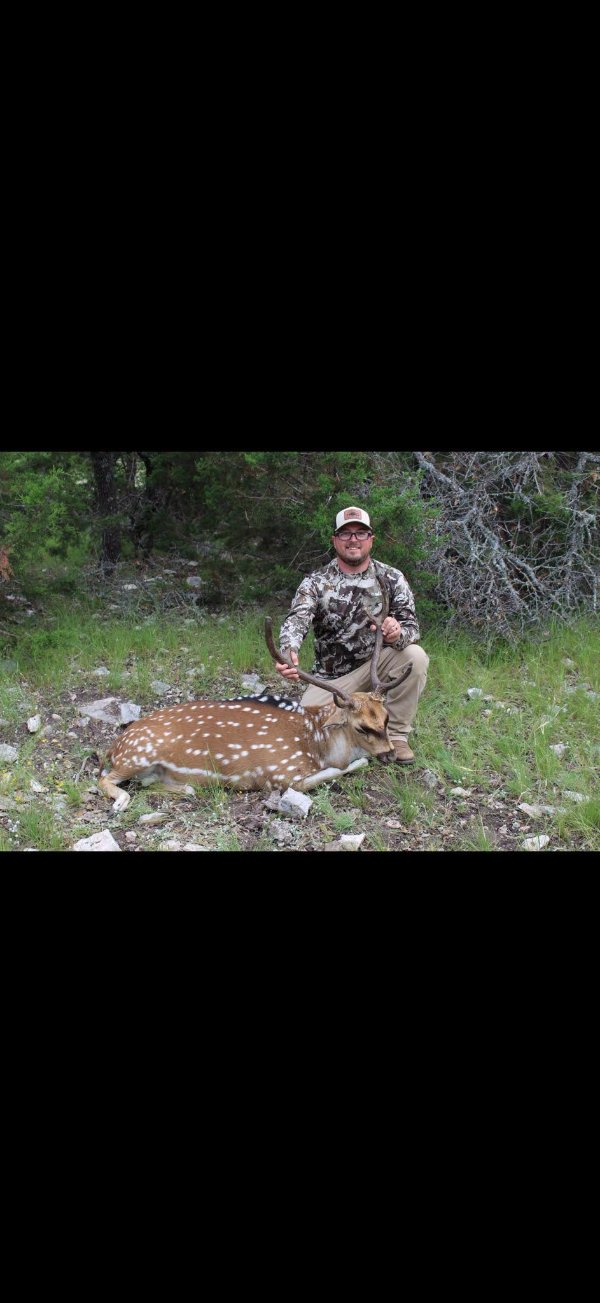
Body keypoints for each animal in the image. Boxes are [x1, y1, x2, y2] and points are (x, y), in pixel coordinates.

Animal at [98, 574, 412, 813]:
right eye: (361, 727)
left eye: (386, 719)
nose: (389, 754)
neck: (317, 744)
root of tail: (115, 746)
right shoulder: (282, 773)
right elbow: (341, 769)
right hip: (138, 754)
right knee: (104, 778)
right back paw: (121, 802)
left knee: (157, 784)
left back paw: (184, 787)